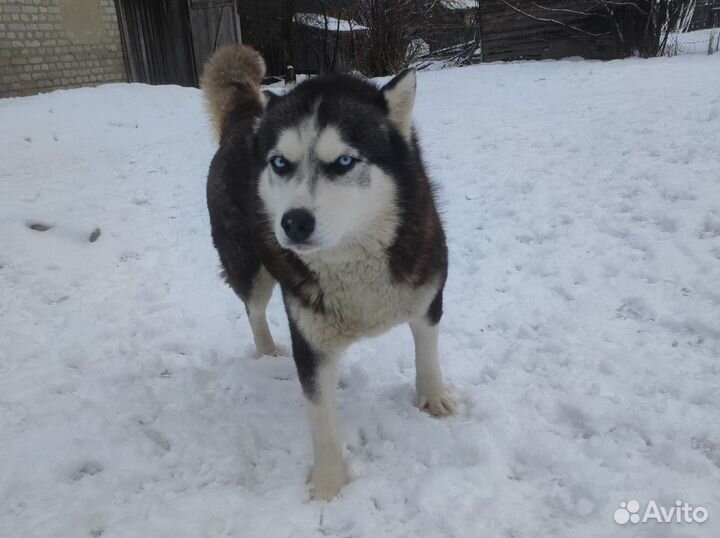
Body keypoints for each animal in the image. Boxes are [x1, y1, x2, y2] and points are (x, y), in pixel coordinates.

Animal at [200, 46, 452, 498]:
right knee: (253, 309)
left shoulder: (428, 292)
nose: (294, 222)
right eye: (280, 163)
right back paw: (266, 351)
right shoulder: (310, 338)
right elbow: (321, 420)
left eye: (344, 162)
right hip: (250, 267)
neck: (353, 264)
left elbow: (427, 350)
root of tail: (246, 116)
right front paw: (330, 486)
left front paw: (432, 397)